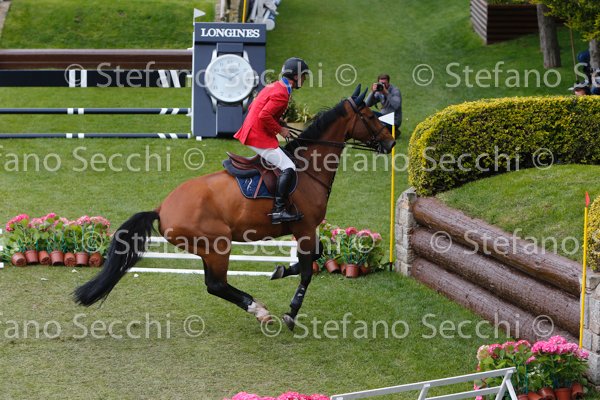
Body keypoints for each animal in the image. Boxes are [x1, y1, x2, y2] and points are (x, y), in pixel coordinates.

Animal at [74, 84, 396, 330]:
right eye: (370, 115)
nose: (391, 143)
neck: (309, 169)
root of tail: (162, 208)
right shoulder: (304, 227)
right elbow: (307, 271)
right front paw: (291, 313)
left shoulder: (305, 229)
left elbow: (315, 257)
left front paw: (280, 270)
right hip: (219, 245)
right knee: (215, 285)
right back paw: (258, 310)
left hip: (207, 249)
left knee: (214, 284)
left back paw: (257, 308)